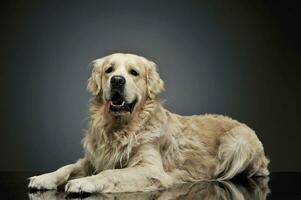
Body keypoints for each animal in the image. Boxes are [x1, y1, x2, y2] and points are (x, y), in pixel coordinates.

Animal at [28, 53, 268, 194]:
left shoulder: (149, 168)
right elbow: (66, 167)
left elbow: (111, 173)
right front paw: (44, 178)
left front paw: (85, 182)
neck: (120, 127)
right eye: (109, 70)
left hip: (237, 143)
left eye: (134, 72)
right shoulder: (93, 158)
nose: (117, 80)